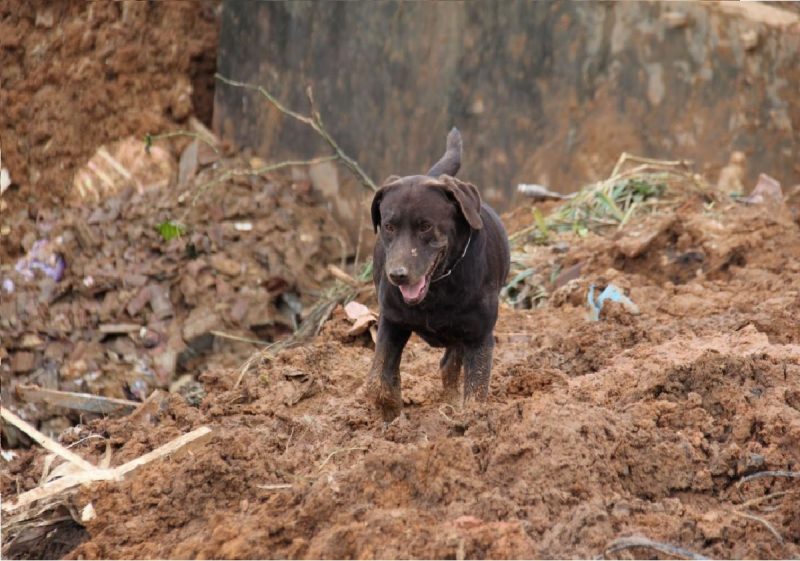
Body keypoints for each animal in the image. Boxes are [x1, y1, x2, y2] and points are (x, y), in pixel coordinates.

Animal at [368, 128, 510, 420]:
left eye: (425, 226)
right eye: (388, 226)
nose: (397, 275)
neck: (438, 289)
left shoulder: (478, 334)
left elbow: (476, 392)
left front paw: (470, 421)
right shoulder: (392, 321)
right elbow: (379, 381)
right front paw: (392, 415)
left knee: (449, 363)